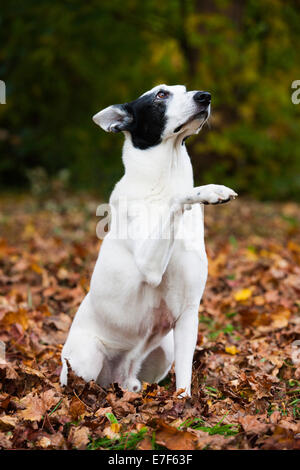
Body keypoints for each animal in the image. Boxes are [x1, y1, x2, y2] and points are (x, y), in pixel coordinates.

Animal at [60, 84, 237, 396]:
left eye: (185, 90)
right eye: (161, 95)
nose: (205, 96)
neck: (163, 177)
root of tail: (118, 376)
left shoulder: (189, 313)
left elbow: (185, 375)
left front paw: (184, 402)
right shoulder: (150, 263)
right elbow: (179, 197)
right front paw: (209, 190)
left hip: (163, 352)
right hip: (87, 358)